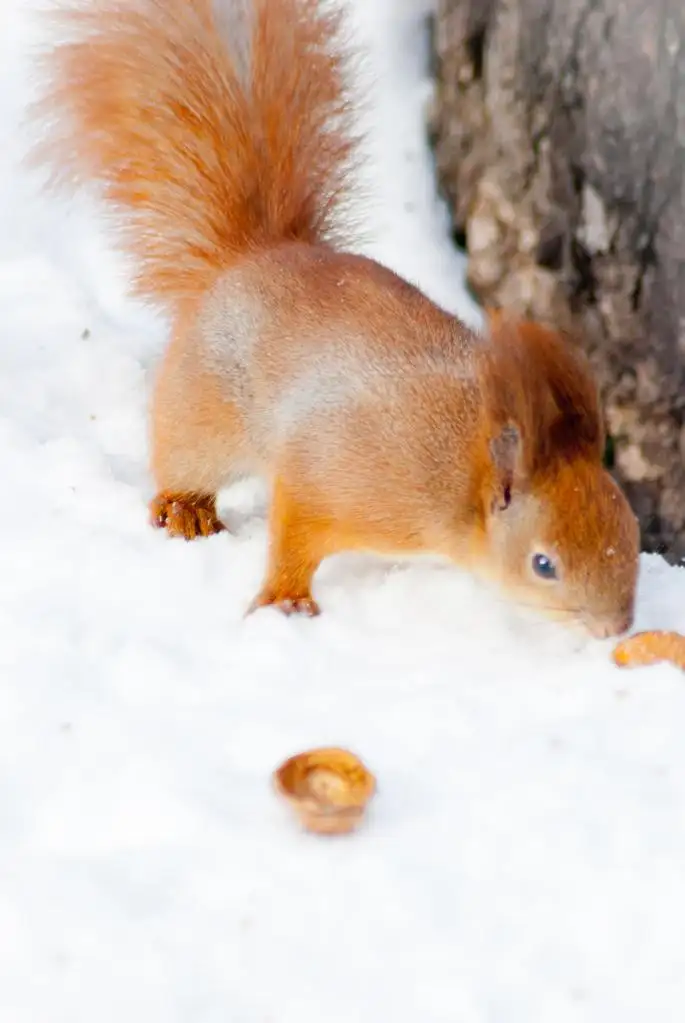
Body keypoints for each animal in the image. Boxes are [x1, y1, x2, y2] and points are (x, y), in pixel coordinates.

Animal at [33, 0, 646, 634]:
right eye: (543, 564)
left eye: (631, 533)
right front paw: (285, 599)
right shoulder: (335, 479)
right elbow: (296, 534)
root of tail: (250, 254)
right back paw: (185, 507)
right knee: (179, 456)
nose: (617, 629)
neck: (458, 469)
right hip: (204, 413)